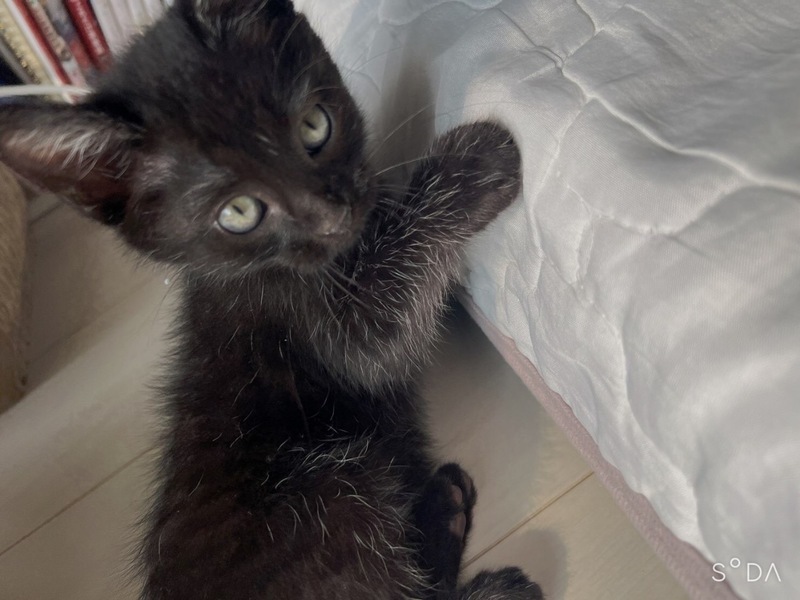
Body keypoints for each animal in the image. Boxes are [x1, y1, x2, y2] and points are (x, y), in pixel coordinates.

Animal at [0, 1, 542, 599]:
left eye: (315, 126)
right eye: (238, 212)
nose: (333, 213)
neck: (248, 271)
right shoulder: (333, 326)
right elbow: (383, 328)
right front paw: (471, 162)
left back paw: (442, 507)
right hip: (331, 487)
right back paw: (494, 579)